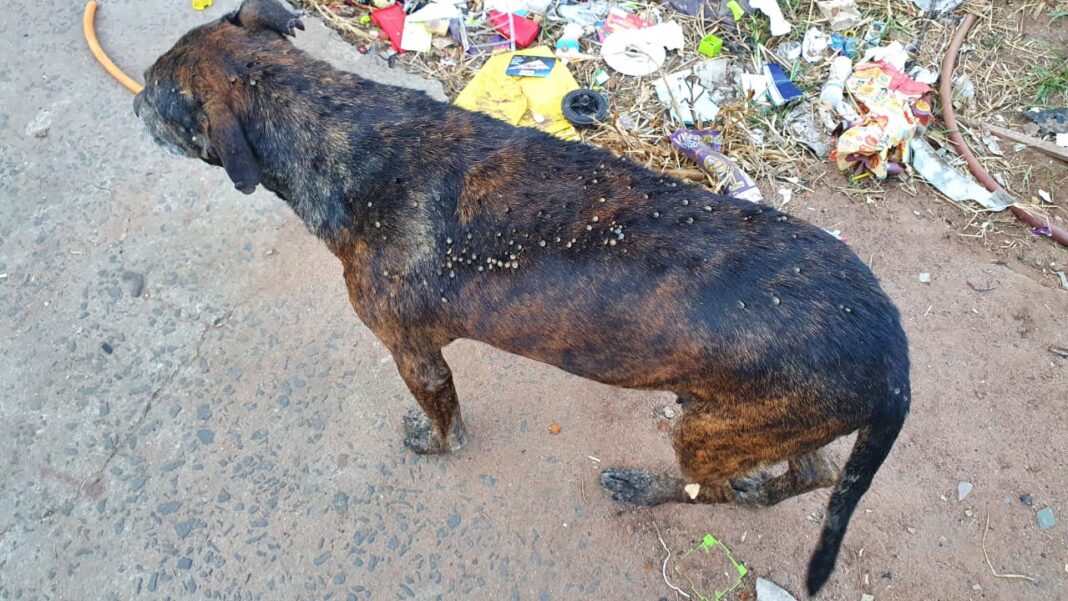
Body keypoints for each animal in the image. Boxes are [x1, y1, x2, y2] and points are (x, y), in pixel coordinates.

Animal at [133, 0, 909, 593]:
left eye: (156, 94)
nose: (133, 101)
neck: (336, 125)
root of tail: (895, 356)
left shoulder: (413, 355)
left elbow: (444, 420)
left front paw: (435, 443)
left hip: (709, 432)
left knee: (711, 488)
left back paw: (644, 487)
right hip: (754, 420)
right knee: (814, 470)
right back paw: (763, 487)